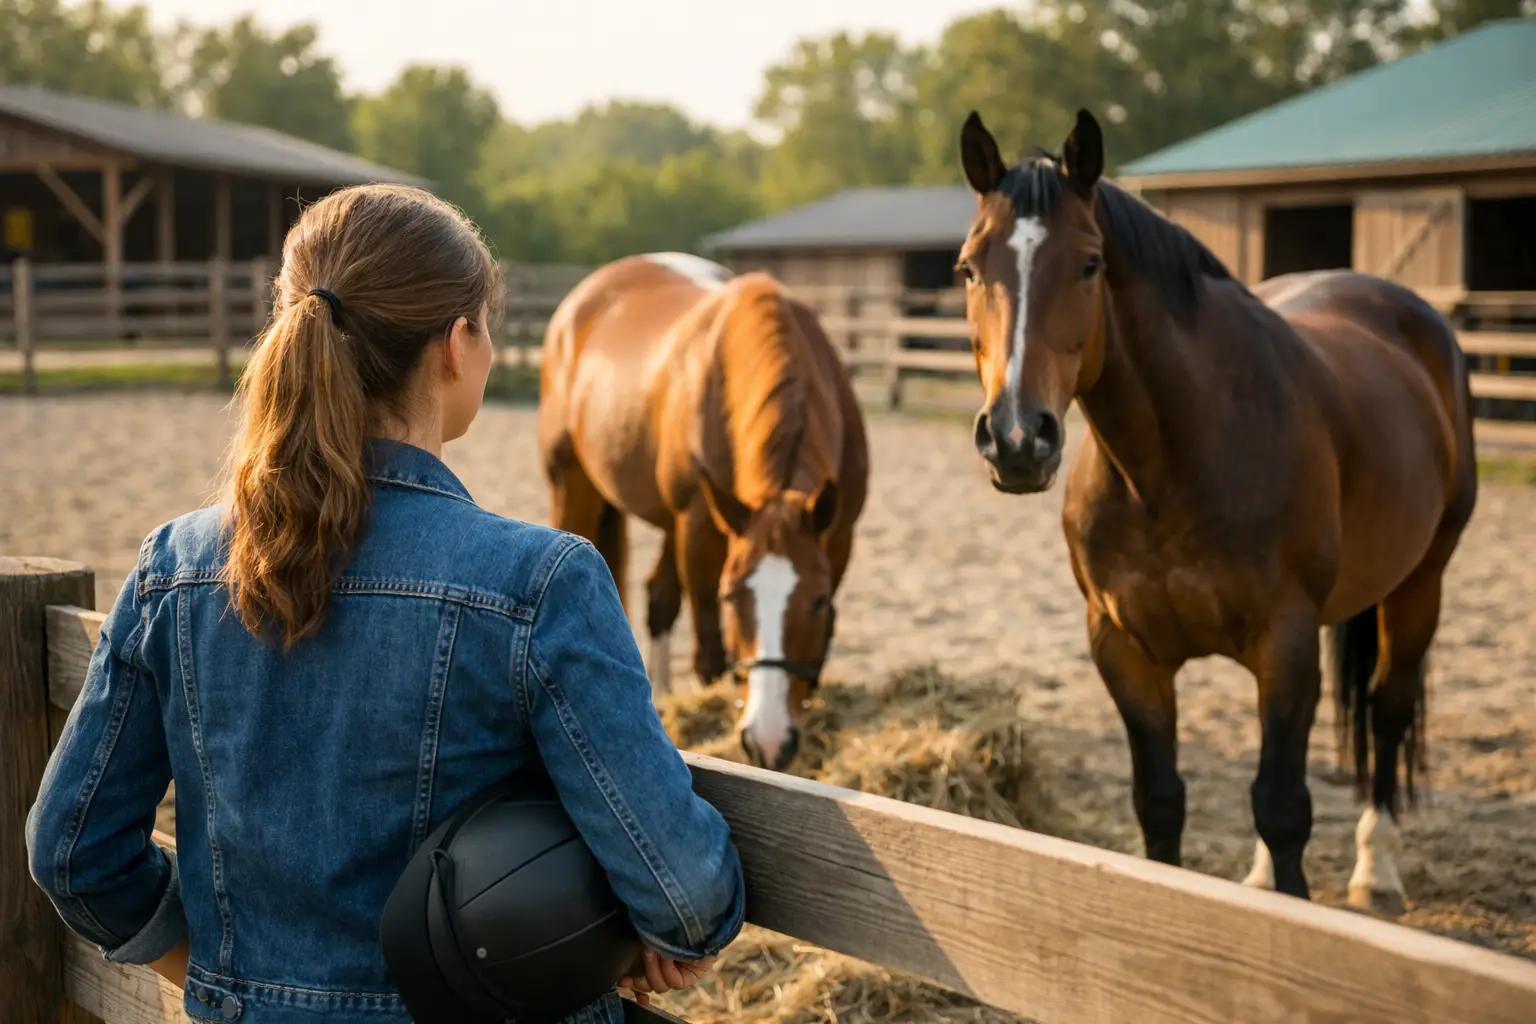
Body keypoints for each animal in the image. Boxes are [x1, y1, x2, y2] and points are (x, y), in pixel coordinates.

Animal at [537, 252, 870, 772]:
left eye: (817, 601)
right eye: (732, 597)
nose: (769, 739)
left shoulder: (838, 537)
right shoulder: (699, 529)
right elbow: (710, 660)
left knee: (658, 599)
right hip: (576, 488)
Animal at [953, 109, 1477, 912]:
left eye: (1090, 264)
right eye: (969, 267)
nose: (1016, 438)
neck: (1170, 465)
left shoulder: (1285, 641)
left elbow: (1282, 806)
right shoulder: (1124, 649)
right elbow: (1162, 801)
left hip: (1421, 582)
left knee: (1387, 711)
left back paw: (1375, 867)